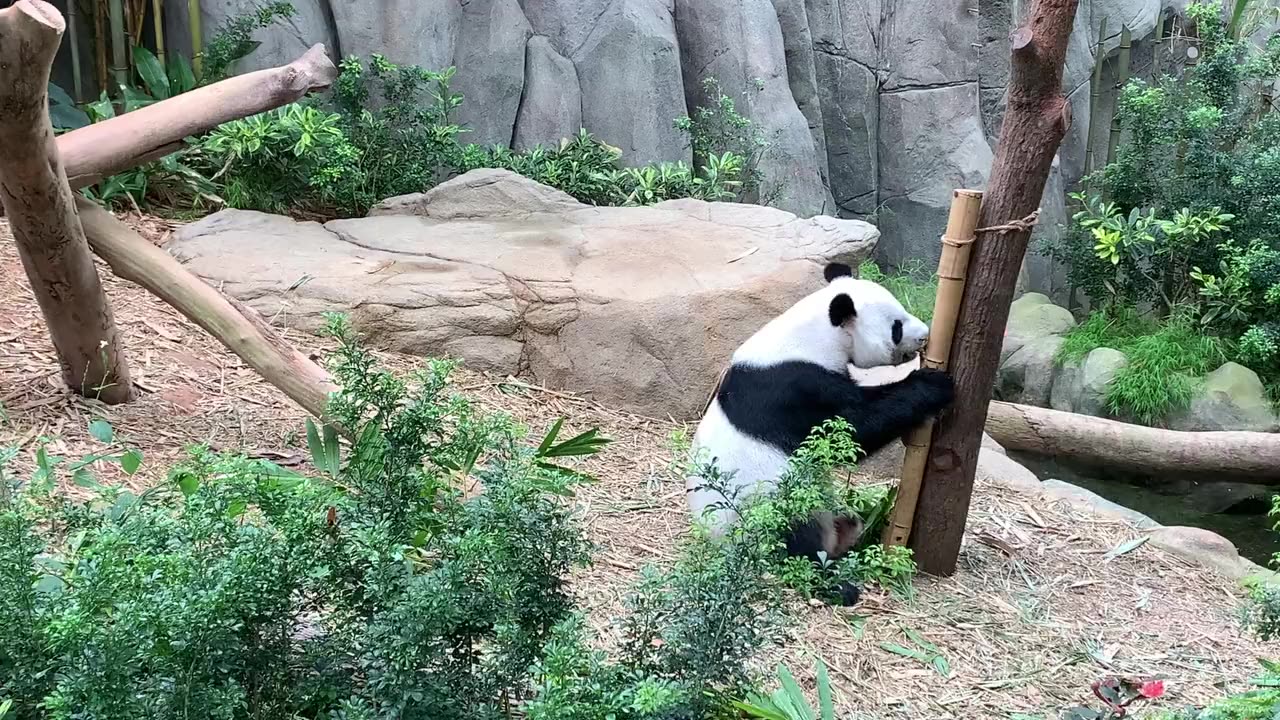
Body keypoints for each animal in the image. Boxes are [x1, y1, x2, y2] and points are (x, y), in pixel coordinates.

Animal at [691, 260, 952, 602]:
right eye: (896, 326)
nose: (924, 336)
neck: (810, 337)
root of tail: (718, 545)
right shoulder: (794, 388)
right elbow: (851, 431)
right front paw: (933, 385)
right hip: (768, 509)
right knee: (796, 537)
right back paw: (834, 583)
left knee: (843, 520)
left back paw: (851, 533)